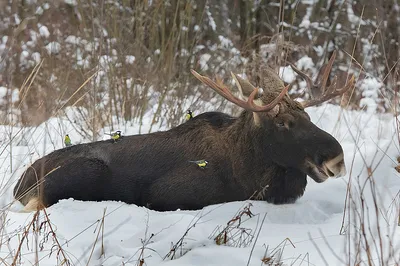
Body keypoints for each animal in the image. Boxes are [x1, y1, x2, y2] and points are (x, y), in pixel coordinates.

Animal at [13, 51, 354, 211]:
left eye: (308, 115)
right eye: (283, 124)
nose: (337, 159)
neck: (250, 171)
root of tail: (20, 184)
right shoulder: (167, 196)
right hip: (78, 177)